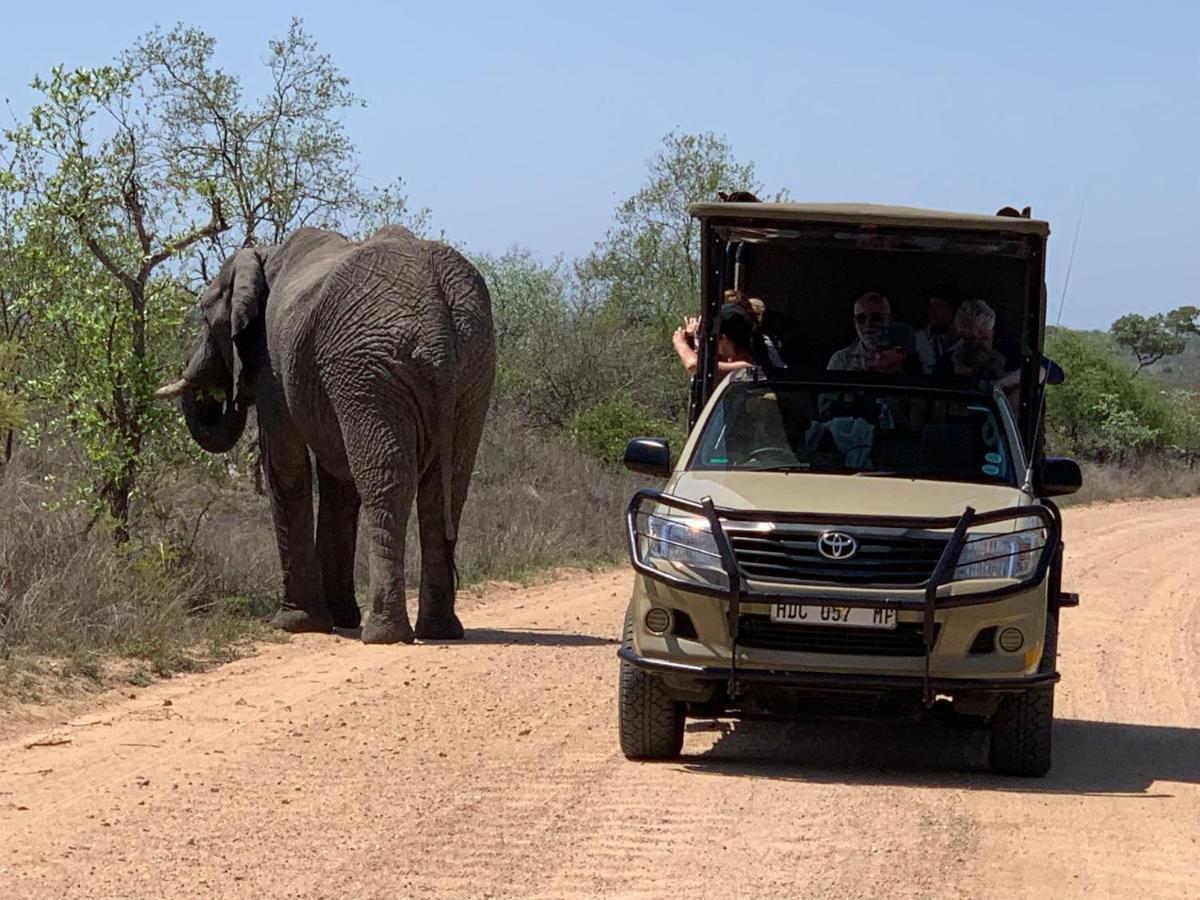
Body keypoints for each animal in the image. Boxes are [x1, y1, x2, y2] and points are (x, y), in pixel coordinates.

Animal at [157, 225, 494, 648]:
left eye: (204, 312)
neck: (263, 254)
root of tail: (436, 323)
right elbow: (338, 480)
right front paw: (338, 618)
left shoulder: (274, 363)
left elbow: (286, 465)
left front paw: (294, 623)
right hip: (470, 366)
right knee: (446, 489)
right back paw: (439, 631)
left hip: (371, 369)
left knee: (385, 483)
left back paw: (383, 635)